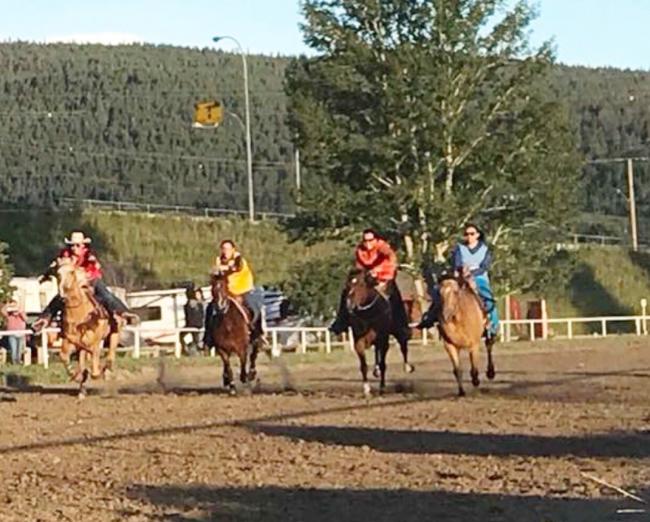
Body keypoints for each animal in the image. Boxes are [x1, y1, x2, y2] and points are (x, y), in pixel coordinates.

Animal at [56, 256, 122, 394]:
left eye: (72, 272)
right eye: (58, 273)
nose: (62, 294)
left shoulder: (95, 342)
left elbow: (95, 369)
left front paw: (95, 372)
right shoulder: (70, 340)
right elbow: (64, 356)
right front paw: (75, 375)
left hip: (114, 333)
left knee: (110, 354)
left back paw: (106, 371)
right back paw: (82, 388)